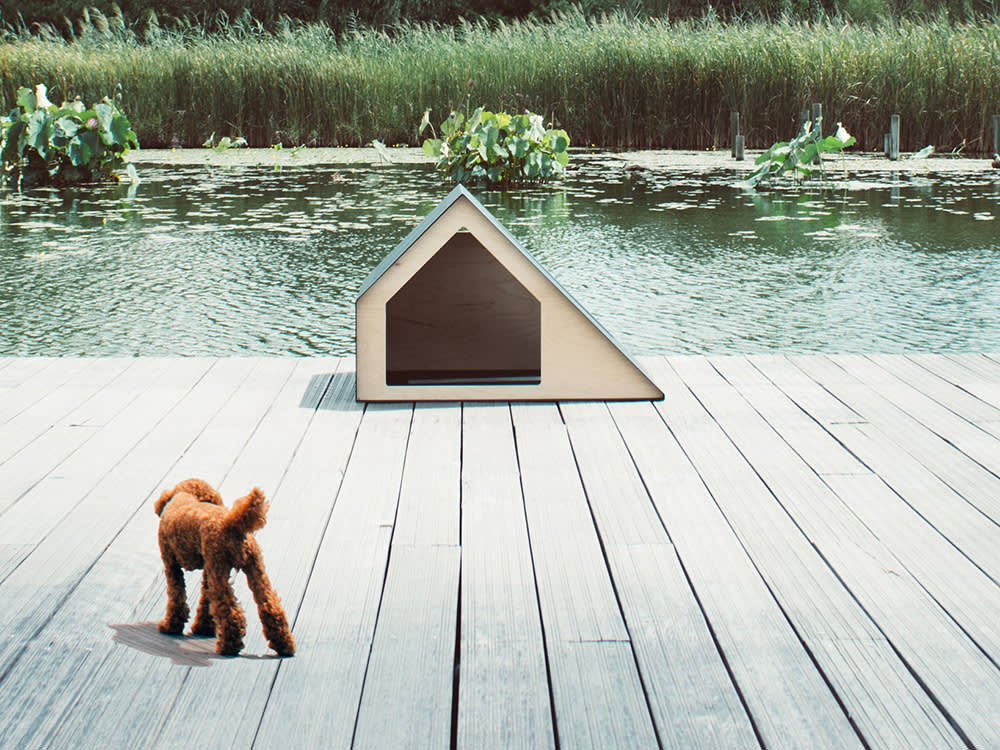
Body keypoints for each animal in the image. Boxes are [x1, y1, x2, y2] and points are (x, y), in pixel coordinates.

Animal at [150, 482, 294, 656]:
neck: (185, 496)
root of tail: (232, 524)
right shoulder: (208, 567)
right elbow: (206, 598)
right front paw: (203, 628)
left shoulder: (171, 563)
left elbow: (176, 596)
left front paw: (170, 626)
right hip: (254, 568)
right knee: (270, 606)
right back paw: (284, 644)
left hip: (219, 568)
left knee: (230, 611)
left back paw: (228, 646)